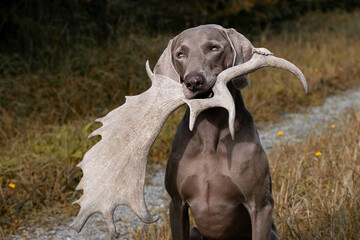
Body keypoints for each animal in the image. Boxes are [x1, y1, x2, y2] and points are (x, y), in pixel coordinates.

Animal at [153, 24, 280, 240]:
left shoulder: (260, 205)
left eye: (214, 48)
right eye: (180, 54)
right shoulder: (176, 203)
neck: (209, 134)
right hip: (195, 231)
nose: (193, 81)